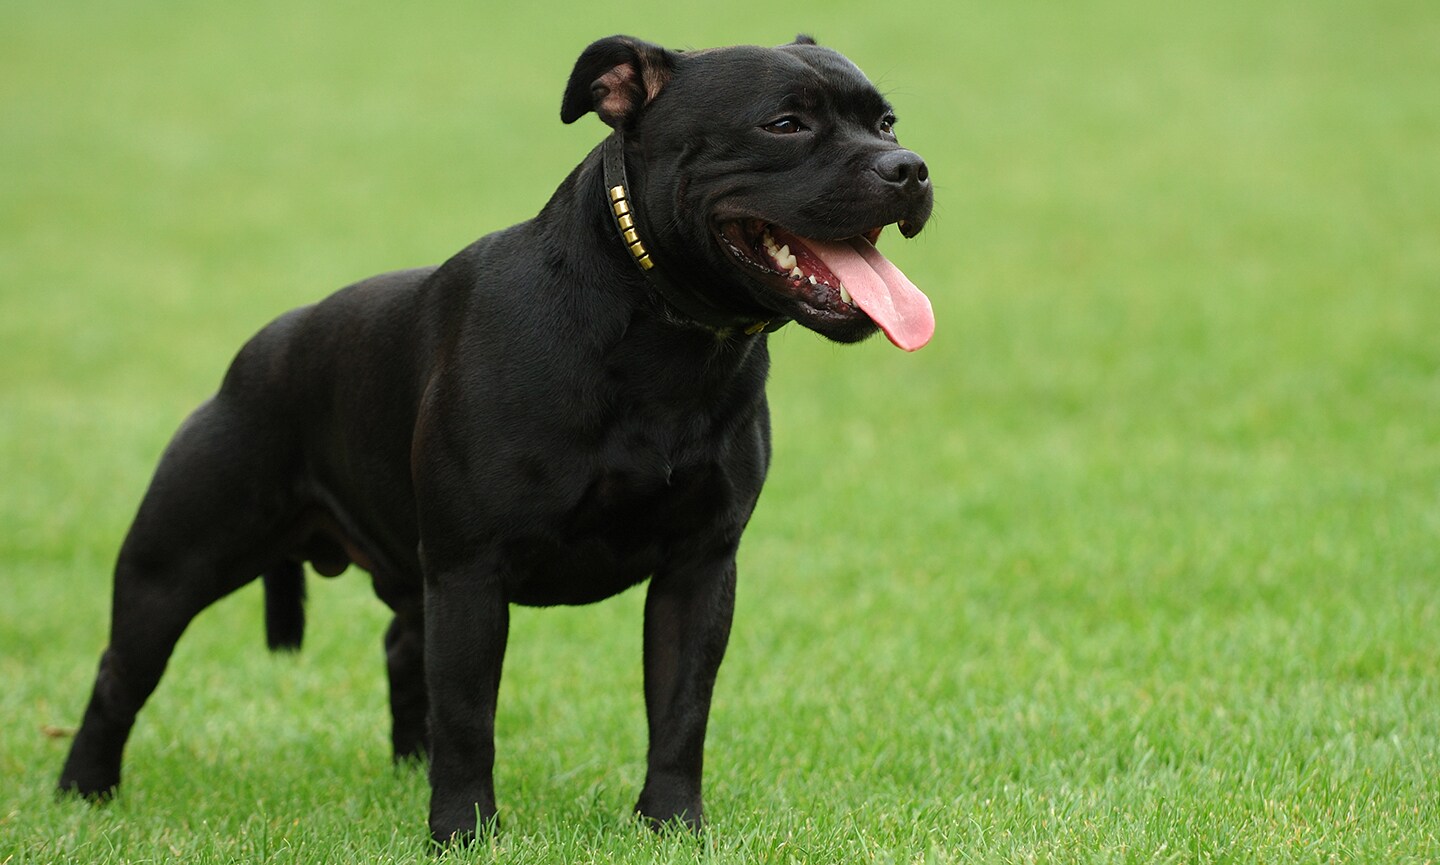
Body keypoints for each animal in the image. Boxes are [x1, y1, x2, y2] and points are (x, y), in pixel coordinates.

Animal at [56, 33, 933, 840]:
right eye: (784, 123)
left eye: (886, 121)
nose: (912, 167)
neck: (661, 331)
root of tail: (261, 347)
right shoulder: (471, 573)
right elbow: (471, 714)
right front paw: (463, 832)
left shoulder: (699, 567)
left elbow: (682, 710)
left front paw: (673, 825)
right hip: (174, 565)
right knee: (120, 674)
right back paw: (84, 790)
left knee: (402, 648)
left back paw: (406, 767)